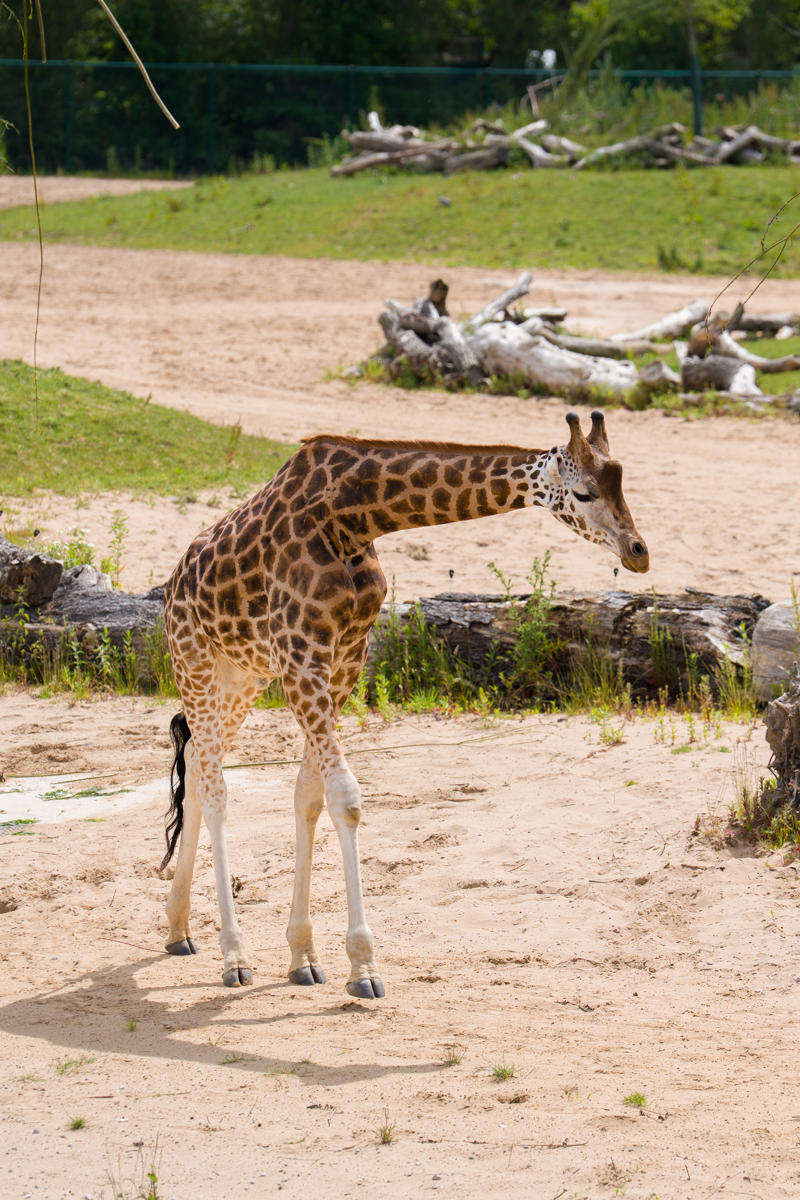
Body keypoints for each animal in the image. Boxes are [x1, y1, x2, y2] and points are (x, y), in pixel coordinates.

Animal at [160, 410, 648, 998]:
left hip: (242, 675)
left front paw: (304, 956)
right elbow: (346, 798)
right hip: (196, 661)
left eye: (620, 483)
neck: (354, 516)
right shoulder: (302, 657)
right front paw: (364, 967)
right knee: (215, 787)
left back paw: (179, 930)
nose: (639, 553)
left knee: (195, 763)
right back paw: (233, 956)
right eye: (582, 492)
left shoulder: (343, 659)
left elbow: (310, 796)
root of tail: (172, 583)